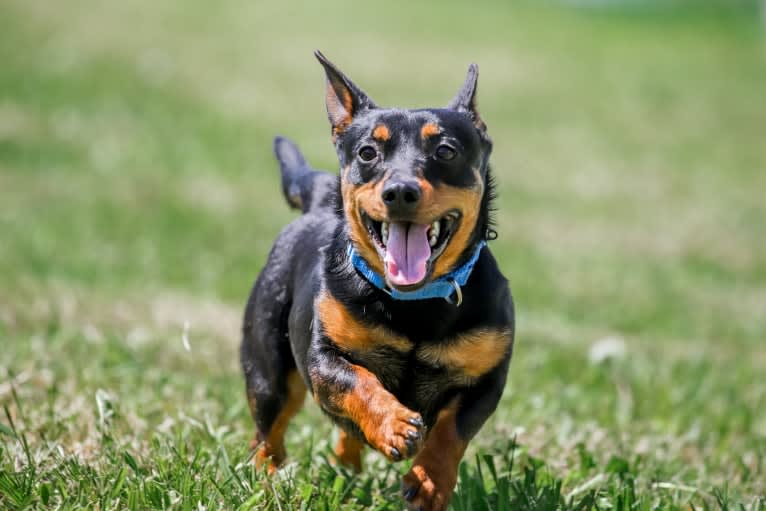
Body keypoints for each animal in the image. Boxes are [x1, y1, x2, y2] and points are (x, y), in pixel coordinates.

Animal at [242, 49, 516, 511]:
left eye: (446, 150)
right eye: (368, 152)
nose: (400, 191)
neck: (414, 302)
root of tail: (319, 201)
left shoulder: (485, 381)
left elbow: (451, 431)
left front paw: (429, 481)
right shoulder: (322, 357)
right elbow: (358, 381)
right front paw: (394, 425)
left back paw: (348, 467)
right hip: (267, 370)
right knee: (268, 432)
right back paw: (268, 479)